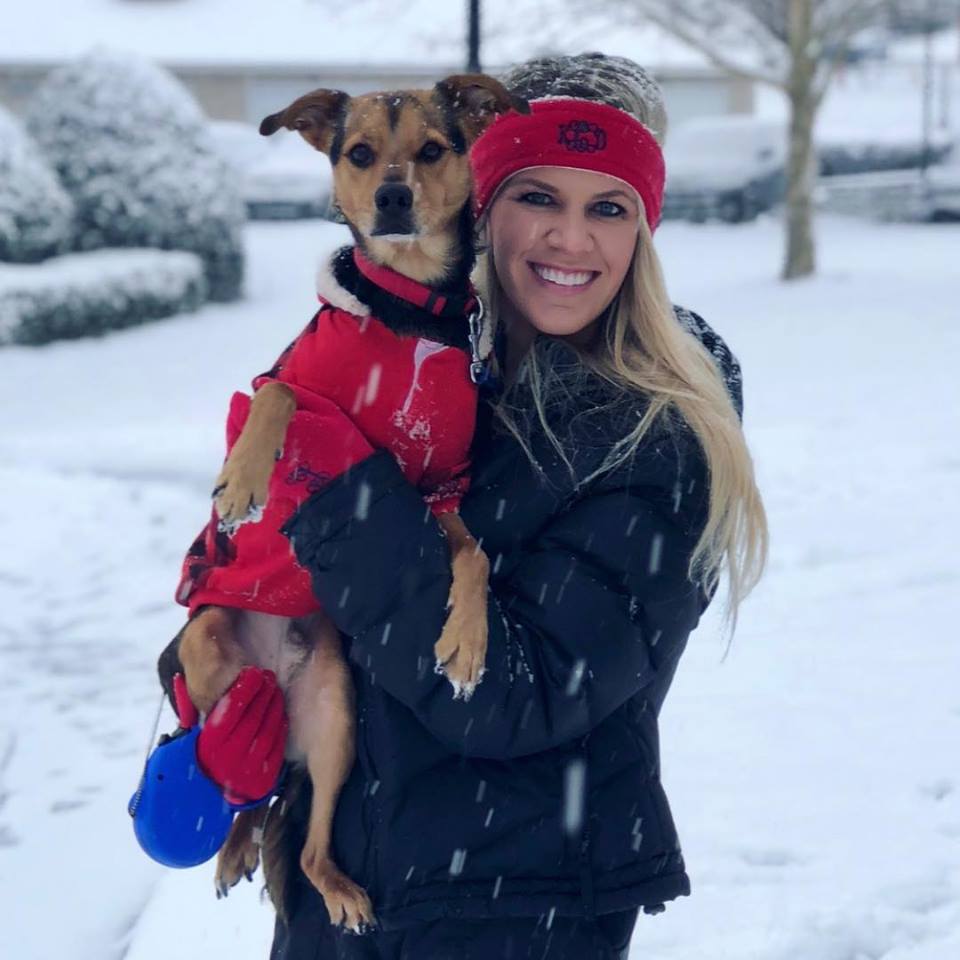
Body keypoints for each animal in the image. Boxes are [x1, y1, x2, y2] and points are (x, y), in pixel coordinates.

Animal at [170, 74, 529, 932]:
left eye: (431, 149)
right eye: (359, 154)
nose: (393, 198)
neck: (410, 313)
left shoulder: (438, 485)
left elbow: (472, 554)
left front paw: (465, 643)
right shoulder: (289, 376)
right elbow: (280, 397)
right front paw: (243, 481)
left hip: (334, 715)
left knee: (297, 831)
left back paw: (325, 882)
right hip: (208, 649)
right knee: (237, 778)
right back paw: (233, 834)